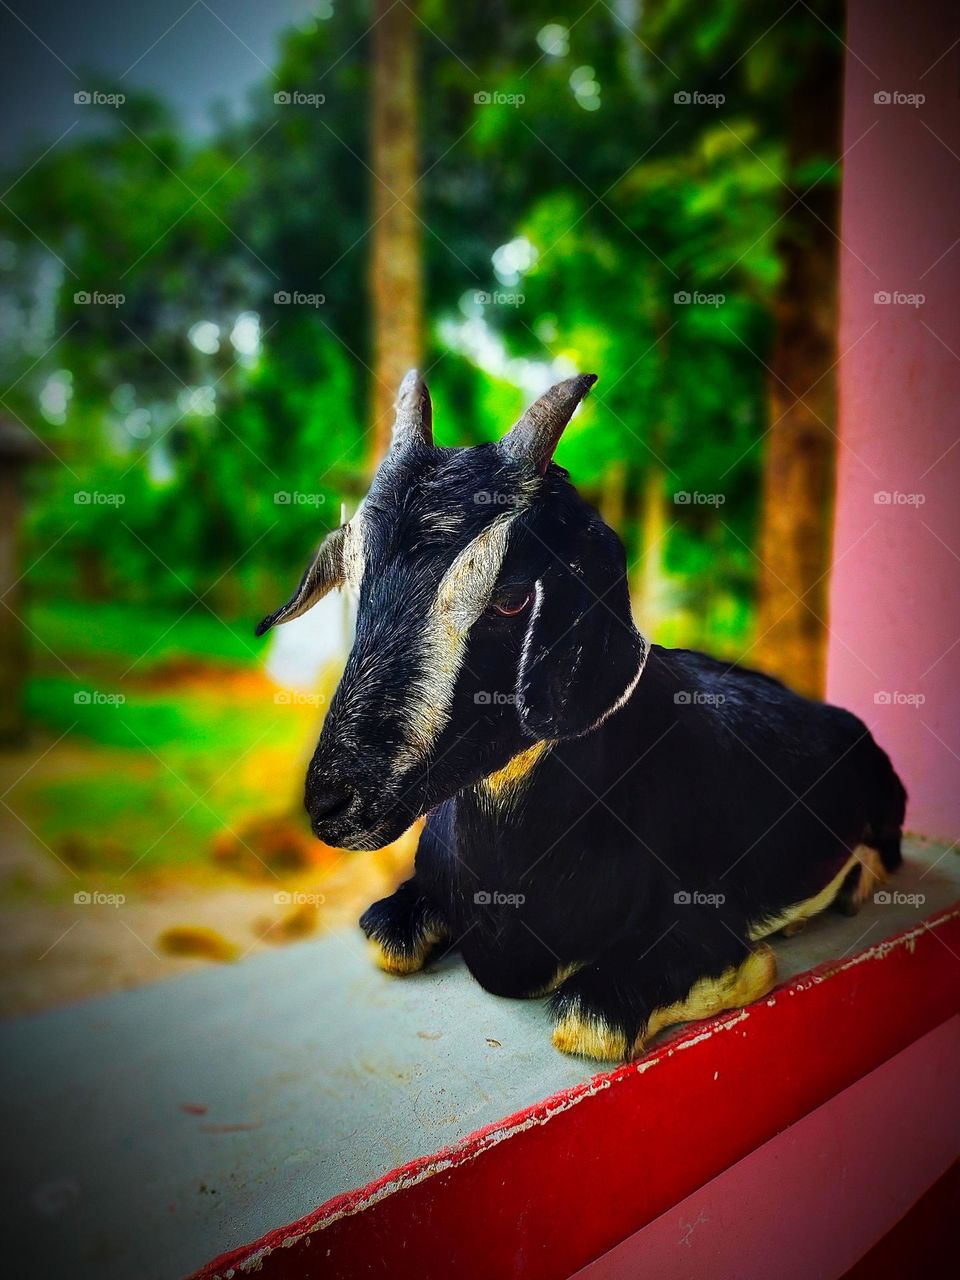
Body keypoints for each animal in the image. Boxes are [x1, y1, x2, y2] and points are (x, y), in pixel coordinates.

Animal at [257, 371, 907, 1061]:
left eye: (511, 598)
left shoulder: (693, 933)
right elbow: (385, 940)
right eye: (356, 583)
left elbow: (590, 1018)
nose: (331, 803)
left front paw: (766, 951)